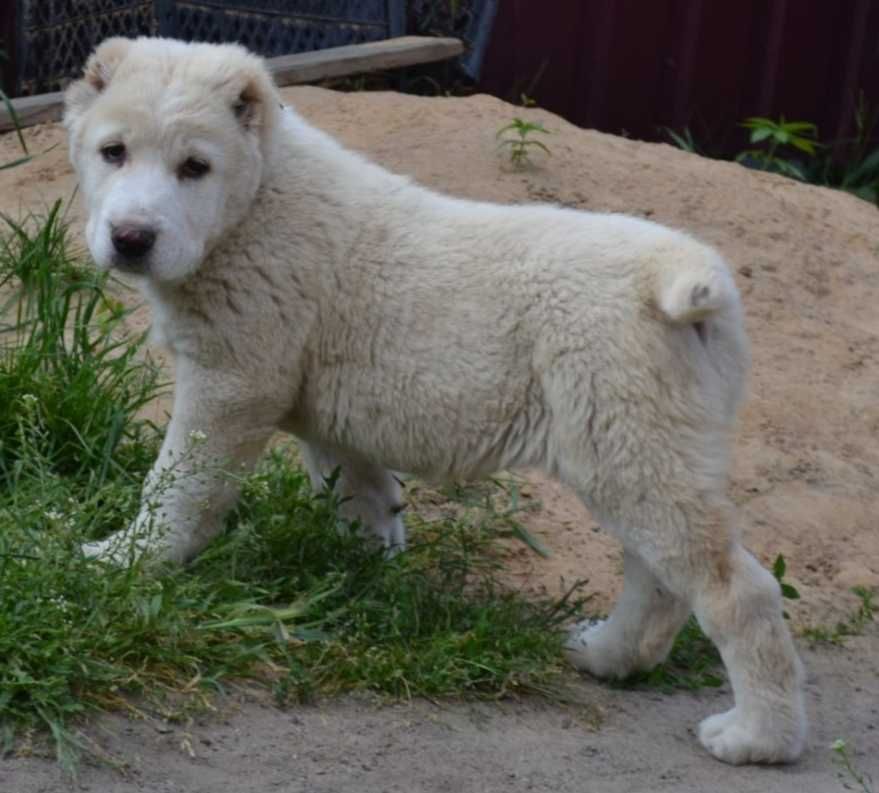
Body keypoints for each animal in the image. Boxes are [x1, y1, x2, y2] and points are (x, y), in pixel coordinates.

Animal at [62, 38, 804, 768]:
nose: (131, 237)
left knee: (735, 590)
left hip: (628, 440)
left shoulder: (231, 379)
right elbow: (357, 486)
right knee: (658, 575)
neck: (256, 197)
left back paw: (758, 736)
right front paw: (368, 567)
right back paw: (606, 654)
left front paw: (128, 557)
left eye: (195, 167)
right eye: (113, 152)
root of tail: (681, 272)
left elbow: (181, 482)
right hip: (638, 449)